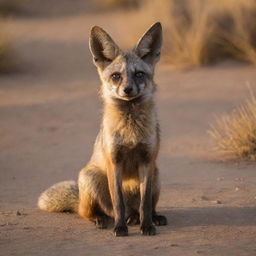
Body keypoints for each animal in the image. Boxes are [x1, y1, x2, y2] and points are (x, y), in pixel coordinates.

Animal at [37, 22, 167, 236]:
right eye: (116, 76)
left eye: (139, 74)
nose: (127, 90)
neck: (131, 132)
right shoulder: (114, 161)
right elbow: (118, 203)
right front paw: (120, 228)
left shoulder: (147, 160)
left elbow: (145, 203)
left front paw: (147, 225)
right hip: (91, 178)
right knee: (91, 212)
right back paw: (102, 219)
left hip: (156, 174)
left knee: (139, 208)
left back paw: (149, 217)